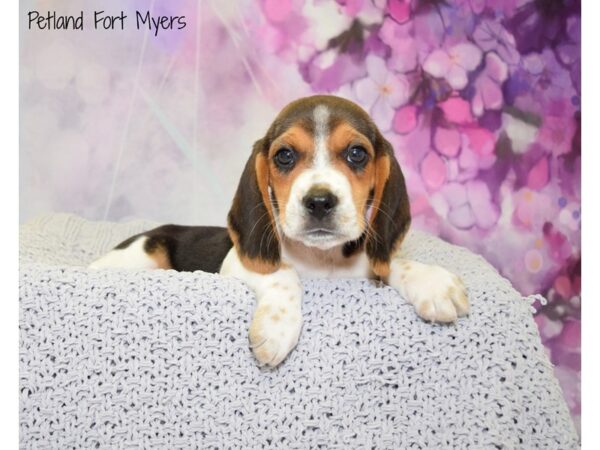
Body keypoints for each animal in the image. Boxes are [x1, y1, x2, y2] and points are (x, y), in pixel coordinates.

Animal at [91, 95, 472, 366]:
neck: (321, 259)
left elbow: (392, 263)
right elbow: (283, 273)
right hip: (138, 259)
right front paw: (276, 328)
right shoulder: (238, 263)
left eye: (357, 153)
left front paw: (433, 282)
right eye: (285, 155)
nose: (319, 201)